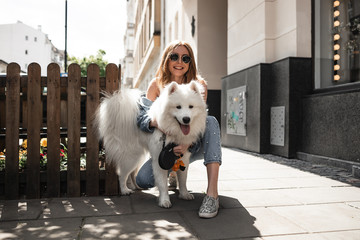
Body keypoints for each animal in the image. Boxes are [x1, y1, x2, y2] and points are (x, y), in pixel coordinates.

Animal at [95, 80, 207, 208]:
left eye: (191, 107)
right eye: (178, 107)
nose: (186, 119)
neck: (173, 130)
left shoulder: (184, 157)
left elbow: (183, 179)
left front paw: (184, 194)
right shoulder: (159, 159)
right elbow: (162, 183)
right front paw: (164, 201)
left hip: (139, 156)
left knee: (132, 173)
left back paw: (136, 186)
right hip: (131, 156)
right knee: (122, 174)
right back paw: (125, 190)